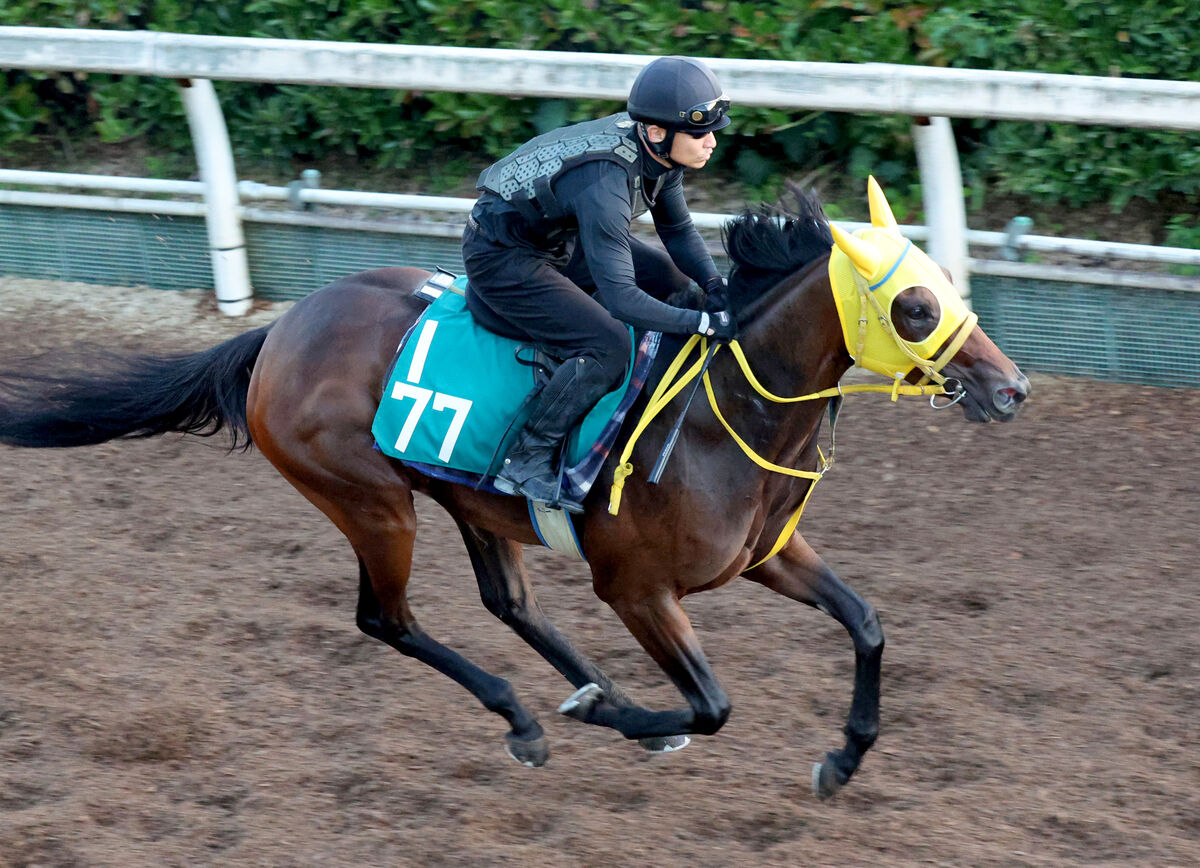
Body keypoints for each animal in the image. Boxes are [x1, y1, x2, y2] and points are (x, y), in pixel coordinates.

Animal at [0, 181, 1032, 801]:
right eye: (914, 307)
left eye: (945, 286)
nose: (1010, 388)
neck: (720, 413)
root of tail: (279, 332)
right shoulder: (636, 589)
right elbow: (712, 704)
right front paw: (619, 715)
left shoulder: (766, 555)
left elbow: (867, 624)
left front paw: (841, 757)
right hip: (373, 502)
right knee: (387, 619)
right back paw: (537, 717)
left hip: (467, 499)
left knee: (507, 603)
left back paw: (574, 698)